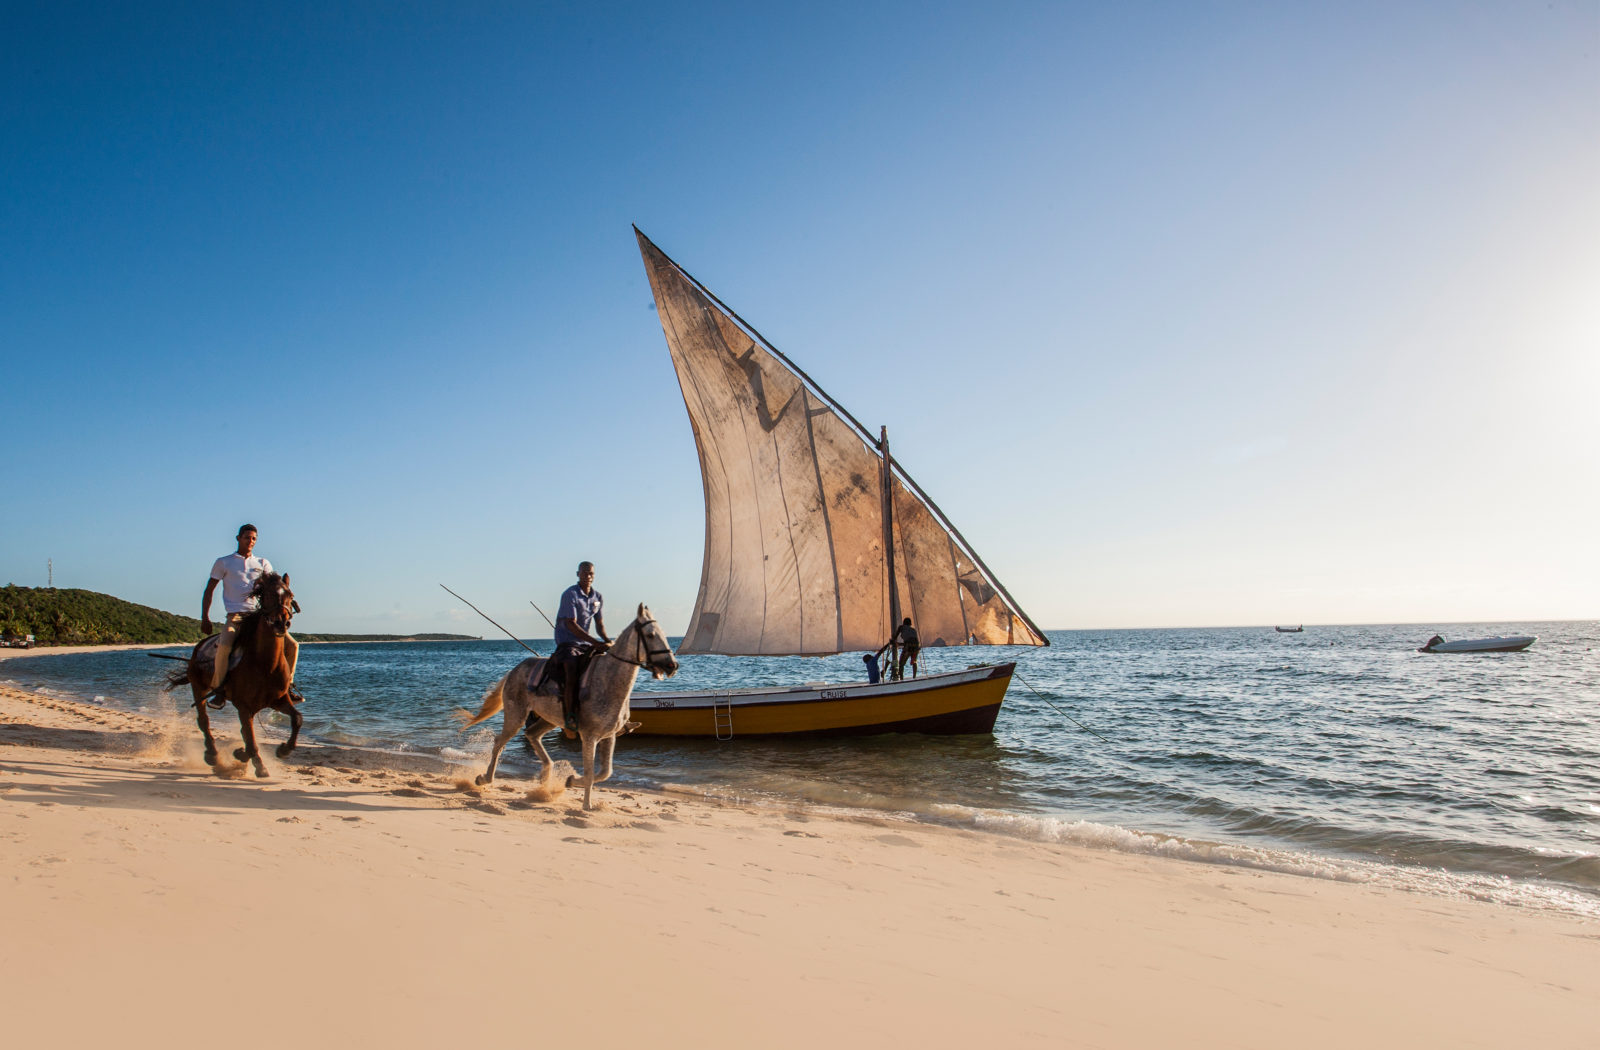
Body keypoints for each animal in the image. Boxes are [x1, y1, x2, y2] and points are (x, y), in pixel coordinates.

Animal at [167, 569, 304, 774]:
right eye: (267, 594)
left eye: (290, 596)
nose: (282, 623)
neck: (265, 664)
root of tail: (198, 647)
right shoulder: (243, 706)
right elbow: (250, 739)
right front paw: (258, 764)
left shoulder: (279, 700)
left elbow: (297, 720)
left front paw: (282, 750)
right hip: (198, 687)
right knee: (203, 720)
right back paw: (212, 755)